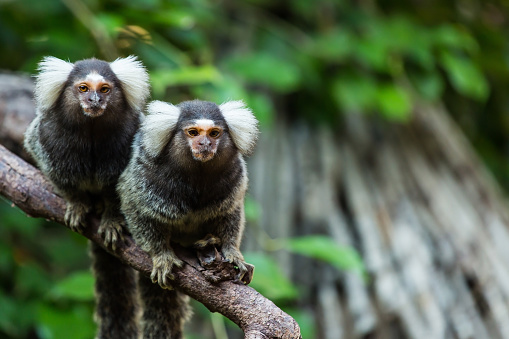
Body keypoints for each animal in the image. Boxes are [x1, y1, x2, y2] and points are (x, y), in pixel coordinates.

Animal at [24, 56, 149, 339]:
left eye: (104, 89)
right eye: (83, 88)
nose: (94, 100)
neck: (92, 131)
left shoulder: (130, 136)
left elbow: (121, 189)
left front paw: (112, 219)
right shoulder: (48, 135)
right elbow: (56, 171)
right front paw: (77, 204)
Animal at [116, 99, 258, 338]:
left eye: (214, 133)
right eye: (193, 132)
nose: (205, 144)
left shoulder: (235, 177)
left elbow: (231, 212)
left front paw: (232, 252)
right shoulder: (144, 174)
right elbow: (135, 207)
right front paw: (161, 255)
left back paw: (208, 241)